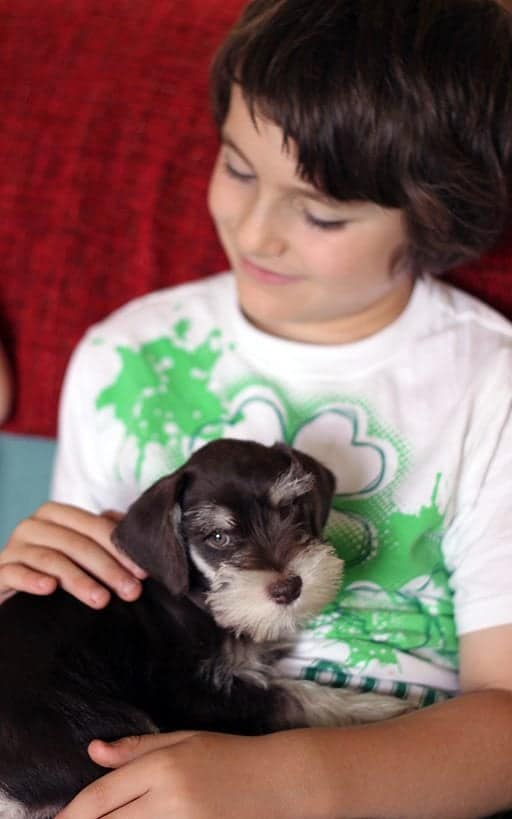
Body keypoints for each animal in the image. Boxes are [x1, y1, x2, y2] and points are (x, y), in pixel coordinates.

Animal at [0, 442, 408, 819]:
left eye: (289, 509)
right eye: (217, 537)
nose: (289, 588)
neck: (196, 599)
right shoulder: (192, 695)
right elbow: (291, 696)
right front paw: (378, 707)